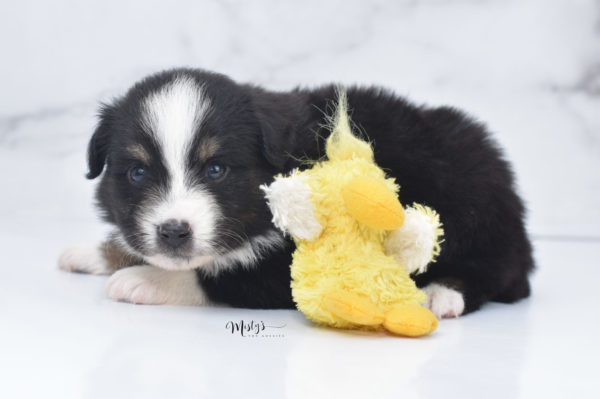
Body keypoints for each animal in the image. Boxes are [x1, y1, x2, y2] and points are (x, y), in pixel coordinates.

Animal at [57, 68, 536, 318]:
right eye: (137, 173)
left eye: (216, 169)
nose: (174, 232)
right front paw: (94, 253)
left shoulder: (288, 264)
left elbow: (219, 275)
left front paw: (142, 279)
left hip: (470, 205)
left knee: (494, 271)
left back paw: (440, 293)